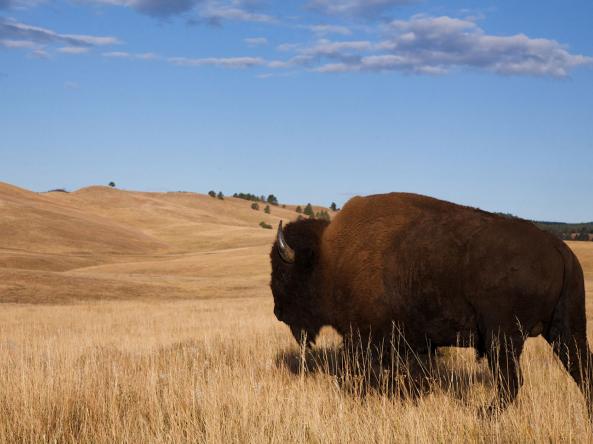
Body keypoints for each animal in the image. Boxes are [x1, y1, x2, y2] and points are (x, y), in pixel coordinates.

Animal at [270, 193, 592, 414]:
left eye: (283, 272)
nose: (277, 311)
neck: (329, 260)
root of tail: (558, 248)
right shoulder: (415, 342)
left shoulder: (366, 338)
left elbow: (368, 371)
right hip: (565, 329)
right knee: (581, 370)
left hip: (503, 337)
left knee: (511, 382)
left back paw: (483, 414)